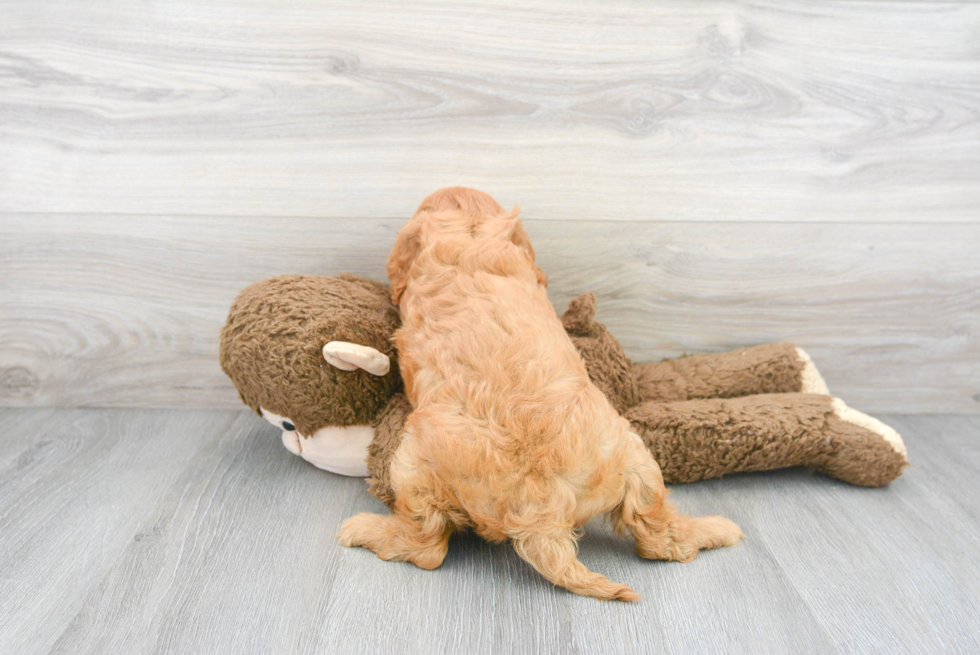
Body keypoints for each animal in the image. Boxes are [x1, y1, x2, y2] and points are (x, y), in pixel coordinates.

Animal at [334, 187, 740, 604]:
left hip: (412, 466)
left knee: (427, 546)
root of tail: (539, 506)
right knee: (658, 532)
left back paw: (366, 530)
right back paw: (715, 530)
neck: (470, 240)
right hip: (632, 452)